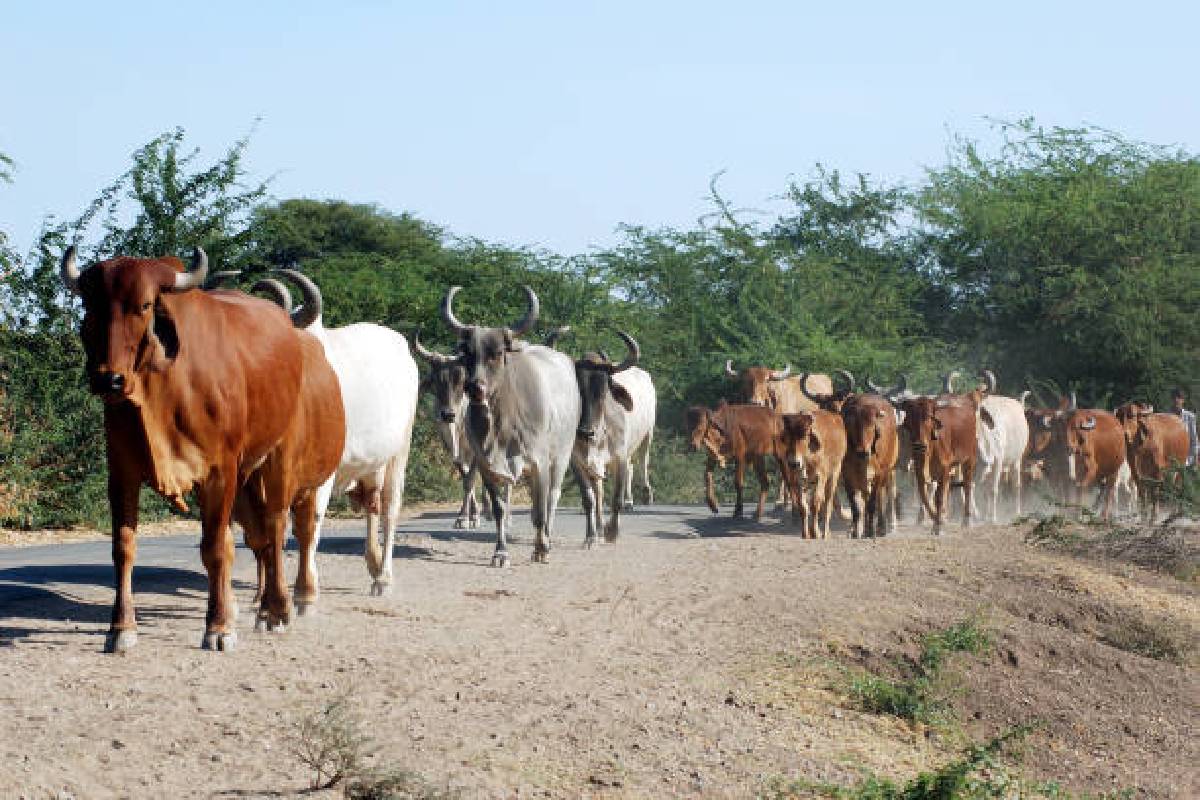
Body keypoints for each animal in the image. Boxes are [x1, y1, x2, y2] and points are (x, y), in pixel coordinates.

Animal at [60, 245, 345, 652]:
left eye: (144, 305)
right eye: (91, 305)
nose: (108, 379)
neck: (165, 391)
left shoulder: (220, 472)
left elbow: (214, 548)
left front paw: (218, 628)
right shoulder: (122, 471)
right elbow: (124, 548)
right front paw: (121, 628)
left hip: (277, 465)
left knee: (276, 528)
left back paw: (277, 609)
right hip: (247, 481)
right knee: (258, 537)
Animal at [274, 272, 420, 597]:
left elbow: (311, 523)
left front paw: (307, 585)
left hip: (399, 454)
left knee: (390, 509)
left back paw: (383, 577)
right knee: (371, 509)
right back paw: (373, 562)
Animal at [439, 284, 578, 566]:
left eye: (497, 353)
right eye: (468, 353)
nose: (475, 387)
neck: (501, 426)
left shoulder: (539, 463)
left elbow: (540, 510)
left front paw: (541, 548)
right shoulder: (487, 465)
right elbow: (499, 510)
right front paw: (500, 552)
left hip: (561, 456)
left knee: (552, 499)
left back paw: (547, 540)